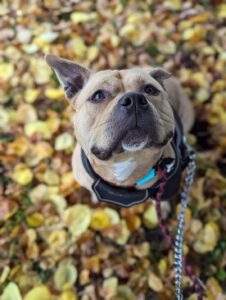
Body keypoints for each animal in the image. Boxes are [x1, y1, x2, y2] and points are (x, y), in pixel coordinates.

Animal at [46, 54, 194, 209]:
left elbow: (160, 199)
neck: (125, 160)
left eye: (150, 90)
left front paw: (163, 208)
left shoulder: (165, 187)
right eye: (98, 96)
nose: (134, 99)